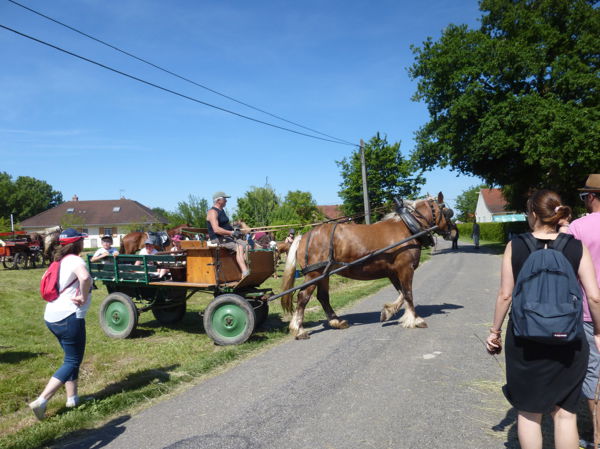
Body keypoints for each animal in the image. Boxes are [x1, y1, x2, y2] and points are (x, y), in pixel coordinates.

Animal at [282, 193, 454, 340]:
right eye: (447, 211)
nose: (453, 233)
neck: (408, 227)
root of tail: (304, 236)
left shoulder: (393, 272)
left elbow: (402, 294)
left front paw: (388, 312)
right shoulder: (406, 268)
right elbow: (408, 294)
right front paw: (415, 320)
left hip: (324, 274)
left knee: (323, 297)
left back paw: (337, 322)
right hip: (314, 274)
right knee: (303, 297)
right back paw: (299, 329)